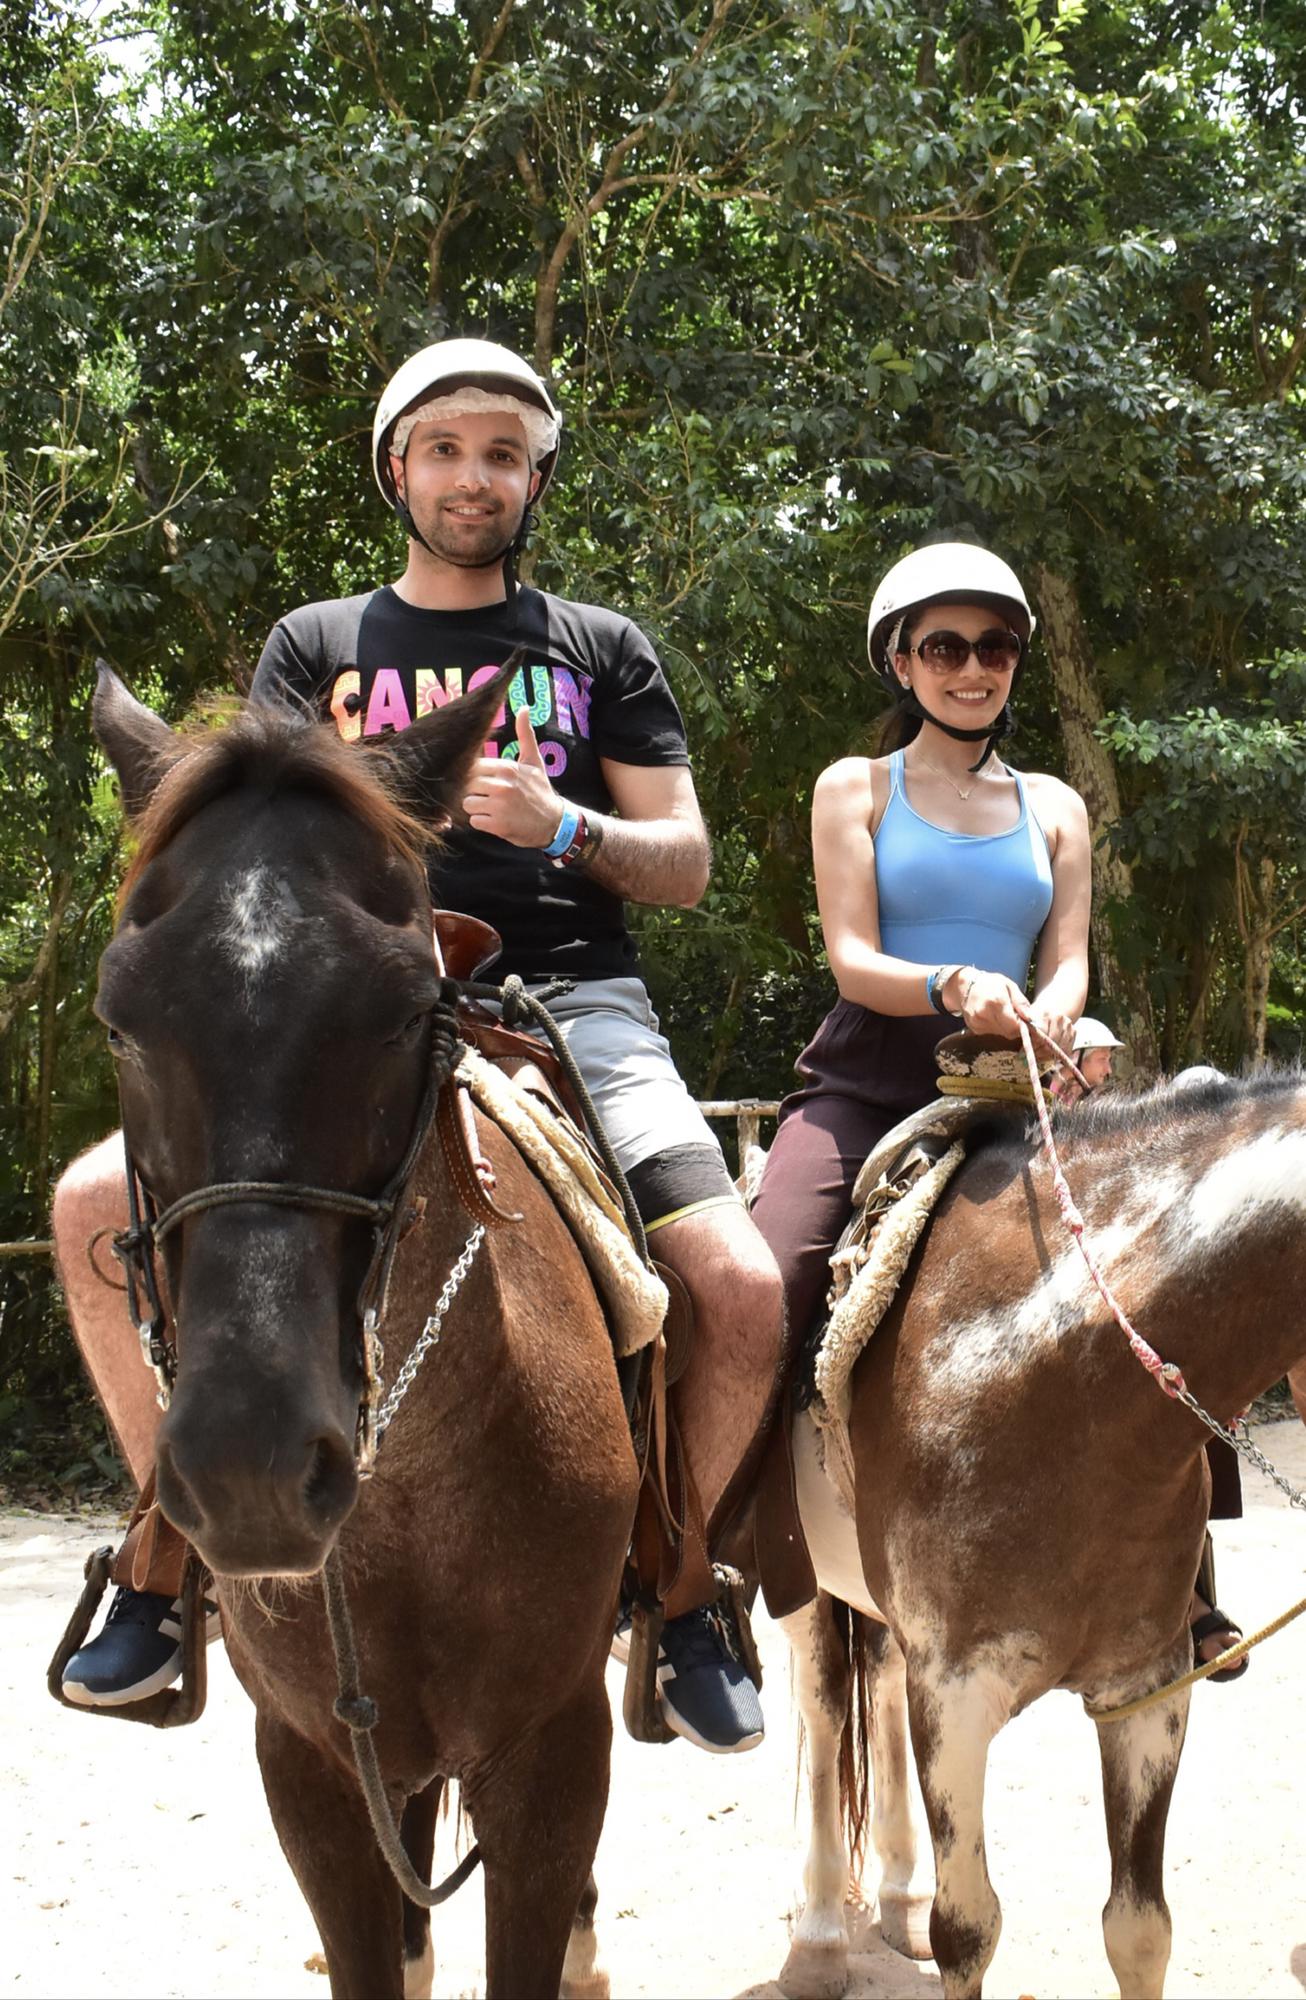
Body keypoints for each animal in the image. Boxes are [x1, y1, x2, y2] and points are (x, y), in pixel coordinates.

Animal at [776, 1080, 1304, 2000]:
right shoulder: (956, 1693)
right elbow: (968, 1930)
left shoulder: (1149, 1687)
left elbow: (1140, 1930)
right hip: (808, 1591)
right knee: (825, 1715)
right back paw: (818, 1937)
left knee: (877, 1689)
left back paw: (897, 1897)